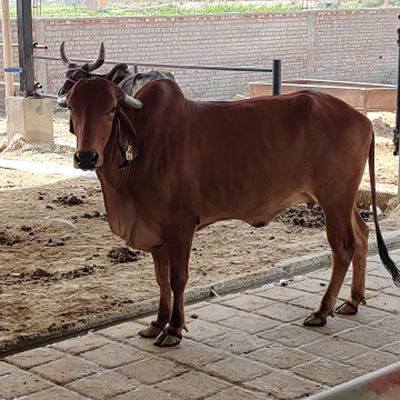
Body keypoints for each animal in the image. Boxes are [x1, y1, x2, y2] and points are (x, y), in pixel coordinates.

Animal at [58, 77, 400, 346]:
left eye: (111, 109)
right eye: (73, 108)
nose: (86, 157)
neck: (143, 146)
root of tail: (362, 119)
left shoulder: (180, 226)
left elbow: (177, 278)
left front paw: (174, 329)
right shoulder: (156, 230)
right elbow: (160, 279)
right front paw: (157, 322)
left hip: (334, 199)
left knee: (343, 249)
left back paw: (321, 310)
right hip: (343, 200)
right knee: (362, 236)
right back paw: (353, 300)